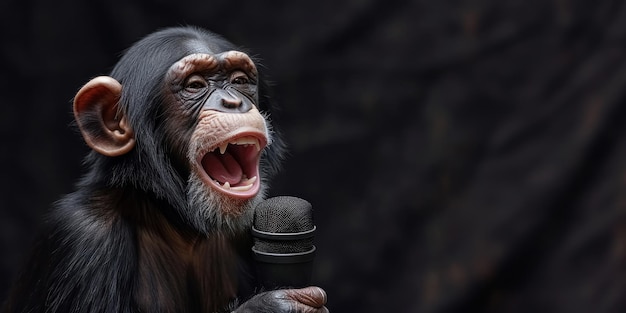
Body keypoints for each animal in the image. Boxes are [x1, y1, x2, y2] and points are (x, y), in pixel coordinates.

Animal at [0, 26, 330, 312]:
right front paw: (273, 305)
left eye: (239, 81)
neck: (175, 220)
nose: (233, 102)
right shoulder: (81, 238)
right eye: (195, 85)